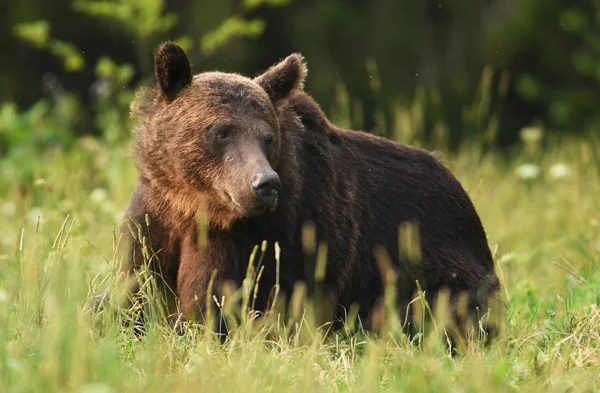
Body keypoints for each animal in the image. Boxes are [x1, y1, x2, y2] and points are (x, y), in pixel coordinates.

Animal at [118, 41, 502, 340]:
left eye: (267, 137)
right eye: (222, 131)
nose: (265, 184)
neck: (193, 202)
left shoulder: (257, 238)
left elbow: (211, 302)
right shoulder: (155, 216)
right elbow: (131, 285)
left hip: (432, 256)